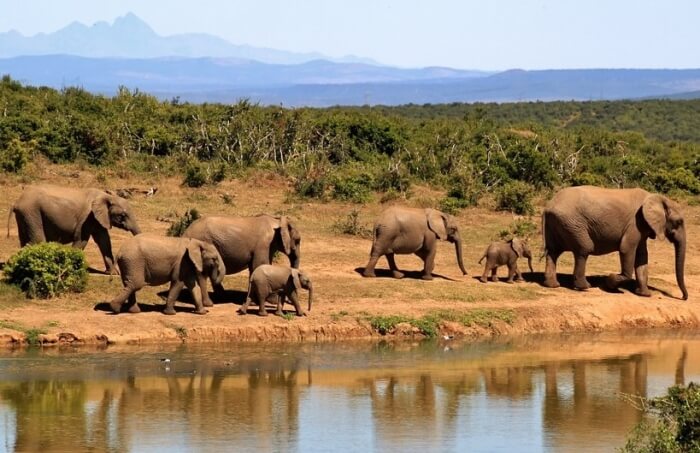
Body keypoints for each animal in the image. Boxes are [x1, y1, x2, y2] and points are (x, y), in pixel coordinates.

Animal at [8, 184, 141, 272]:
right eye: (122, 215)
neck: (107, 196)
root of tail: (16, 202)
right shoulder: (87, 217)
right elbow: (82, 240)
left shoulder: (98, 219)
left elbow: (104, 241)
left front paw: (113, 273)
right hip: (32, 212)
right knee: (37, 240)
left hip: (25, 215)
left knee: (24, 240)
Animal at [540, 185, 688, 298]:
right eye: (679, 222)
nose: (683, 297)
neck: (657, 198)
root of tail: (548, 206)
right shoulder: (635, 224)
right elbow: (626, 249)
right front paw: (610, 283)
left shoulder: (642, 227)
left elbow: (642, 257)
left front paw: (645, 294)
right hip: (573, 224)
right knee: (584, 249)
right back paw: (585, 287)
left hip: (558, 223)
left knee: (553, 252)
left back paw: (553, 285)